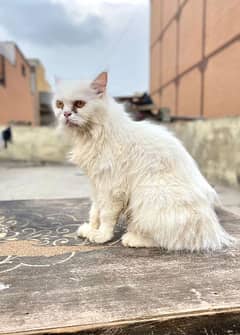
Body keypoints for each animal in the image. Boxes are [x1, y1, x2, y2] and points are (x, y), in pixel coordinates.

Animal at [53, 71, 233, 252]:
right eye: (59, 104)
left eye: (79, 103)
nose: (66, 114)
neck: (91, 135)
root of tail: (212, 233)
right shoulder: (97, 185)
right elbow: (94, 212)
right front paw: (90, 229)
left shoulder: (112, 187)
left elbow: (106, 215)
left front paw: (101, 236)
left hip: (149, 195)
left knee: (170, 241)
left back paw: (132, 238)